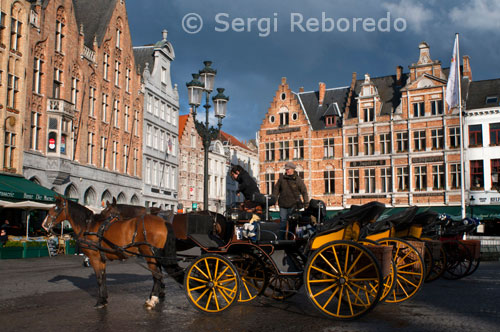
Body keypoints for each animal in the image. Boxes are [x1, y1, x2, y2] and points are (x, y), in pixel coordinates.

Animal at [41, 197, 182, 308]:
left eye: (56, 208)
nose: (44, 225)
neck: (88, 226)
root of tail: (164, 221)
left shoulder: (94, 257)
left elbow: (99, 278)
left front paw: (99, 301)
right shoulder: (101, 258)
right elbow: (103, 277)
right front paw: (104, 299)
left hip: (151, 255)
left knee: (157, 275)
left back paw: (152, 300)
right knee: (159, 275)